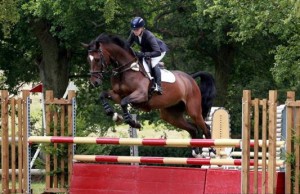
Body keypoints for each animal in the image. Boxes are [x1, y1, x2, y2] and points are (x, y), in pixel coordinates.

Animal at [83, 33, 217, 156]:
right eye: (88, 60)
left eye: (97, 59)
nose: (94, 82)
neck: (126, 69)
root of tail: (190, 78)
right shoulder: (117, 94)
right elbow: (103, 95)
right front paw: (113, 114)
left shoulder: (141, 95)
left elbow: (124, 102)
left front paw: (132, 122)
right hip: (171, 115)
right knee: (192, 128)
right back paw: (196, 151)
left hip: (194, 110)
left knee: (205, 127)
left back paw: (212, 150)